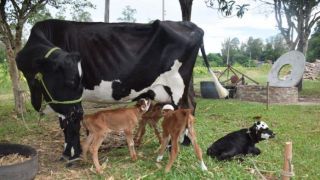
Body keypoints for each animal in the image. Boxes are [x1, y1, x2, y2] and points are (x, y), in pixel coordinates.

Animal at [15, 19, 228, 165]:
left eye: (77, 80)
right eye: (70, 80)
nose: (79, 112)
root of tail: (188, 23)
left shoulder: (66, 104)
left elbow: (70, 125)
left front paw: (71, 155)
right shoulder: (63, 102)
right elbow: (67, 124)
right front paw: (70, 152)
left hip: (177, 84)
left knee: (183, 109)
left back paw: (173, 146)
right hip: (182, 85)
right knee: (191, 104)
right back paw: (184, 142)